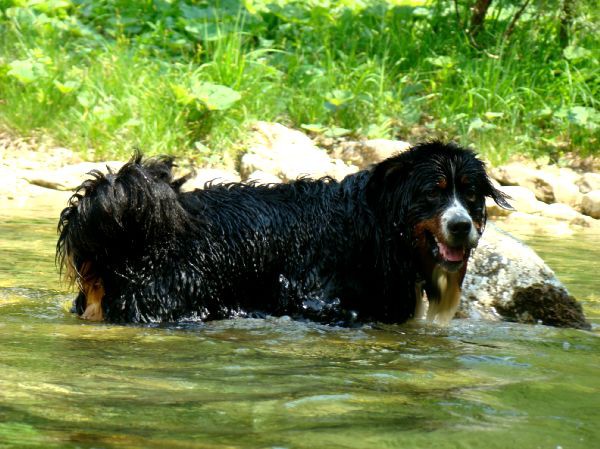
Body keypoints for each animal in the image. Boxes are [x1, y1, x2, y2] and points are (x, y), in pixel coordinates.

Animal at [56, 140, 508, 322]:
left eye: (470, 194)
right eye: (433, 193)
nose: (462, 226)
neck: (378, 225)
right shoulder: (314, 298)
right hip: (172, 298)